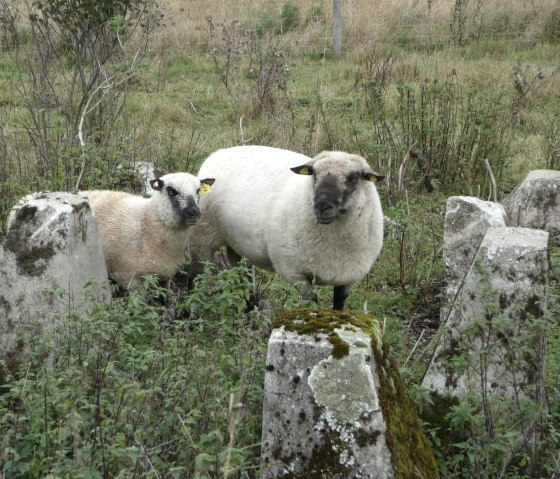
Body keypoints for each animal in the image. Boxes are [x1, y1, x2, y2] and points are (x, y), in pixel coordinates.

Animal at [188, 146, 384, 312]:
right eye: (313, 174)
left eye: (354, 178)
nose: (322, 206)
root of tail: (217, 153)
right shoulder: (294, 271)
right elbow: (312, 303)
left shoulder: (350, 277)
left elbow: (338, 306)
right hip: (202, 237)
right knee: (196, 276)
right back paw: (188, 311)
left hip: (238, 242)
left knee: (244, 276)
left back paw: (250, 310)